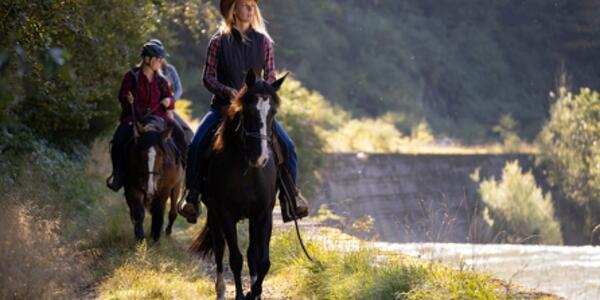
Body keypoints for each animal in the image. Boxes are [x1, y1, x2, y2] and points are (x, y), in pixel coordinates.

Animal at [191, 71, 288, 300]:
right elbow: (235, 258)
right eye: (248, 110)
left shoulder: (263, 214)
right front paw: (242, 295)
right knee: (219, 250)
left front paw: (255, 292)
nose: (260, 157)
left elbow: (262, 261)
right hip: (215, 216)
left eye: (273, 112)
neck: (248, 170)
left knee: (252, 254)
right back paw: (220, 291)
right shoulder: (225, 213)